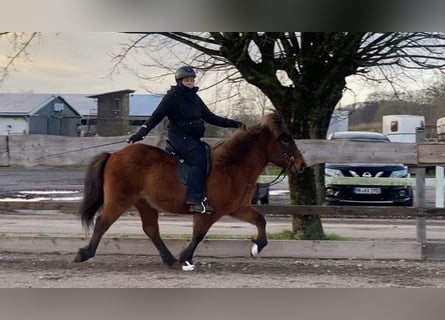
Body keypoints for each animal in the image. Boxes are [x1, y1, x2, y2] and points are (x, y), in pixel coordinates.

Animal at [73, 112, 306, 270]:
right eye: (285, 139)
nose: (302, 166)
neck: (231, 168)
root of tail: (114, 154)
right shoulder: (210, 211)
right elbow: (199, 234)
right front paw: (186, 257)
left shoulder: (238, 208)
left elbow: (260, 220)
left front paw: (257, 247)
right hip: (119, 200)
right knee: (103, 222)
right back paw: (84, 254)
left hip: (145, 203)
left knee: (151, 229)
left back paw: (168, 259)